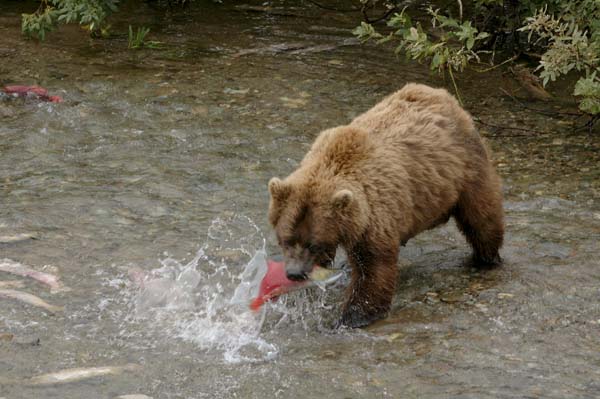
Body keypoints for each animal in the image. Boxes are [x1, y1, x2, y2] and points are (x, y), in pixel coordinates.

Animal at [268, 83, 502, 330]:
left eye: (313, 244)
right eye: (285, 240)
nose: (294, 273)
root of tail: (441, 93)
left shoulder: (374, 216)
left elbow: (373, 270)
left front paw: (351, 317)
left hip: (467, 167)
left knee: (481, 216)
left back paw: (486, 258)